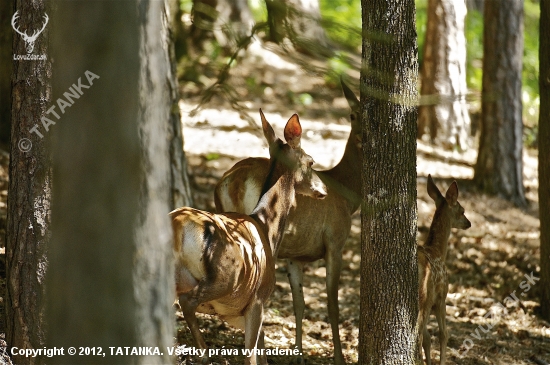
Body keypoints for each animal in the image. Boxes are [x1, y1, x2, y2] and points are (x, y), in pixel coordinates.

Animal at [172, 110, 328, 364]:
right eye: (311, 161)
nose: (323, 189)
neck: (267, 229)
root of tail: (178, 228)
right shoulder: (257, 301)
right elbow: (253, 356)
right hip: (225, 276)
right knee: (187, 301)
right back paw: (204, 352)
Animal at [215, 80, 362, 364]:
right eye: (353, 114)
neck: (348, 196)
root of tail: (232, 182)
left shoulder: (295, 257)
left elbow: (300, 303)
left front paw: (299, 354)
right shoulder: (335, 242)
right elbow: (332, 304)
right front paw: (339, 357)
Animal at [420, 175, 472, 362]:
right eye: (462, 210)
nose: (469, 223)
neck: (438, 251)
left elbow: (428, 339)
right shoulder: (441, 297)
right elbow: (444, 334)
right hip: (426, 297)